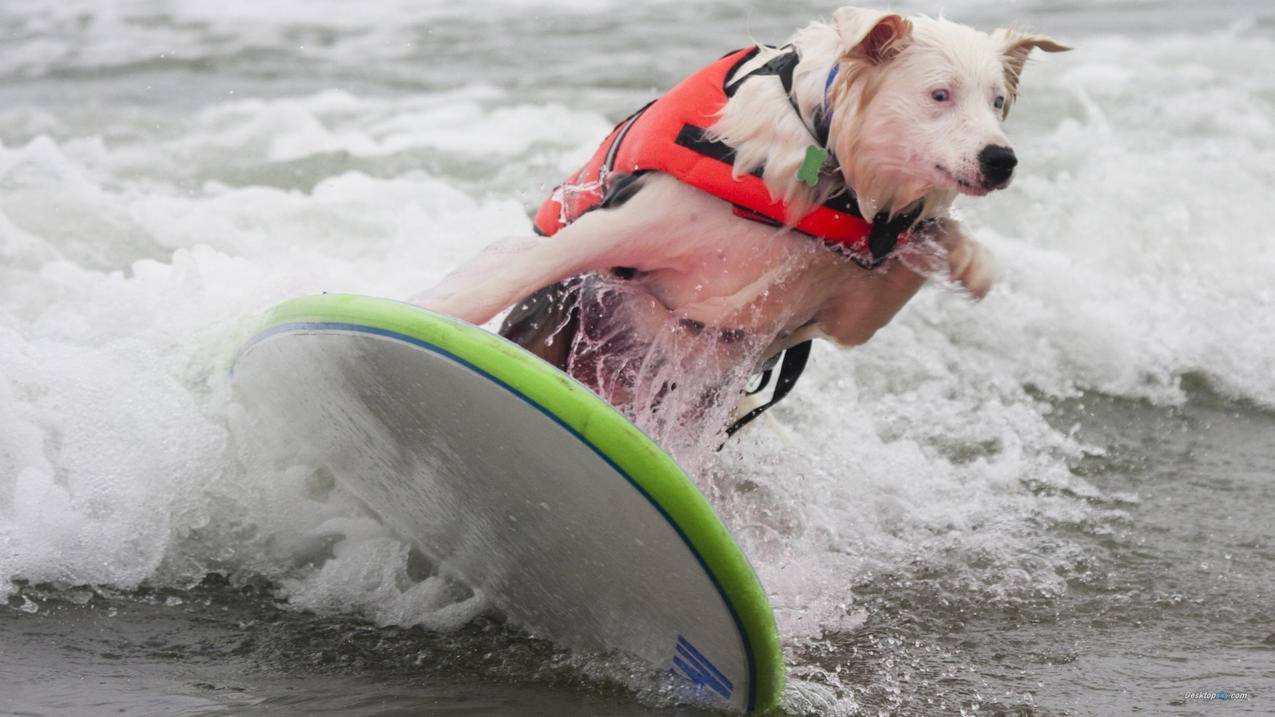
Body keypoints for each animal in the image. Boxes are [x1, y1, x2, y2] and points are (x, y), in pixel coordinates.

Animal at [415, 6, 1065, 456]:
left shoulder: (852, 305)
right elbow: (496, 278)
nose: (1001, 160)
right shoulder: (624, 224)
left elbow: (913, 245)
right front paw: (425, 312)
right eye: (939, 94)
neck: (827, 173)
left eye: (998, 101)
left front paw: (965, 254)